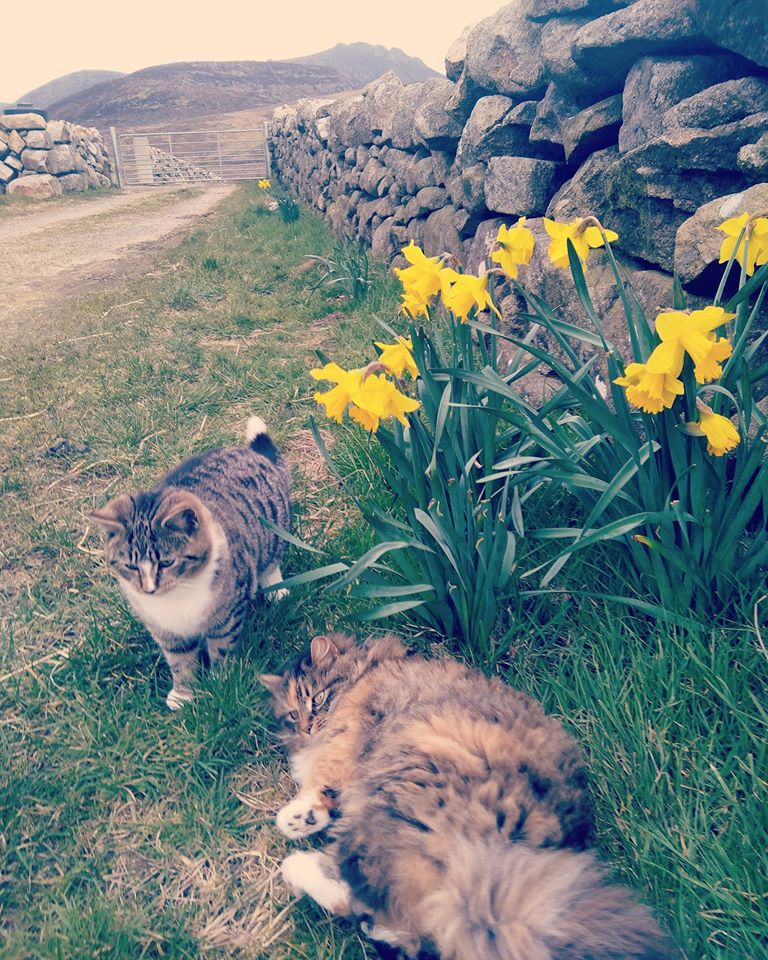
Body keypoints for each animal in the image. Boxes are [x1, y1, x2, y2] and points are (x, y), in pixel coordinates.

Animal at [92, 416, 292, 708]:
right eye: (130, 566)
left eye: (166, 563)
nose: (149, 589)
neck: (177, 596)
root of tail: (249, 453)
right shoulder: (166, 630)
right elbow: (180, 660)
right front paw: (184, 693)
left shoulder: (226, 618)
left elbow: (222, 649)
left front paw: (221, 684)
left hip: (275, 529)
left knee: (272, 560)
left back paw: (276, 589)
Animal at [260, 632, 680, 960]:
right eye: (292, 714)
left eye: (316, 699)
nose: (308, 727)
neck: (363, 672)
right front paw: (305, 818)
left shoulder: (344, 744)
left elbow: (320, 783)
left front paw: (295, 818)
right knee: (403, 919)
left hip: (397, 802)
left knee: (384, 897)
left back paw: (296, 868)